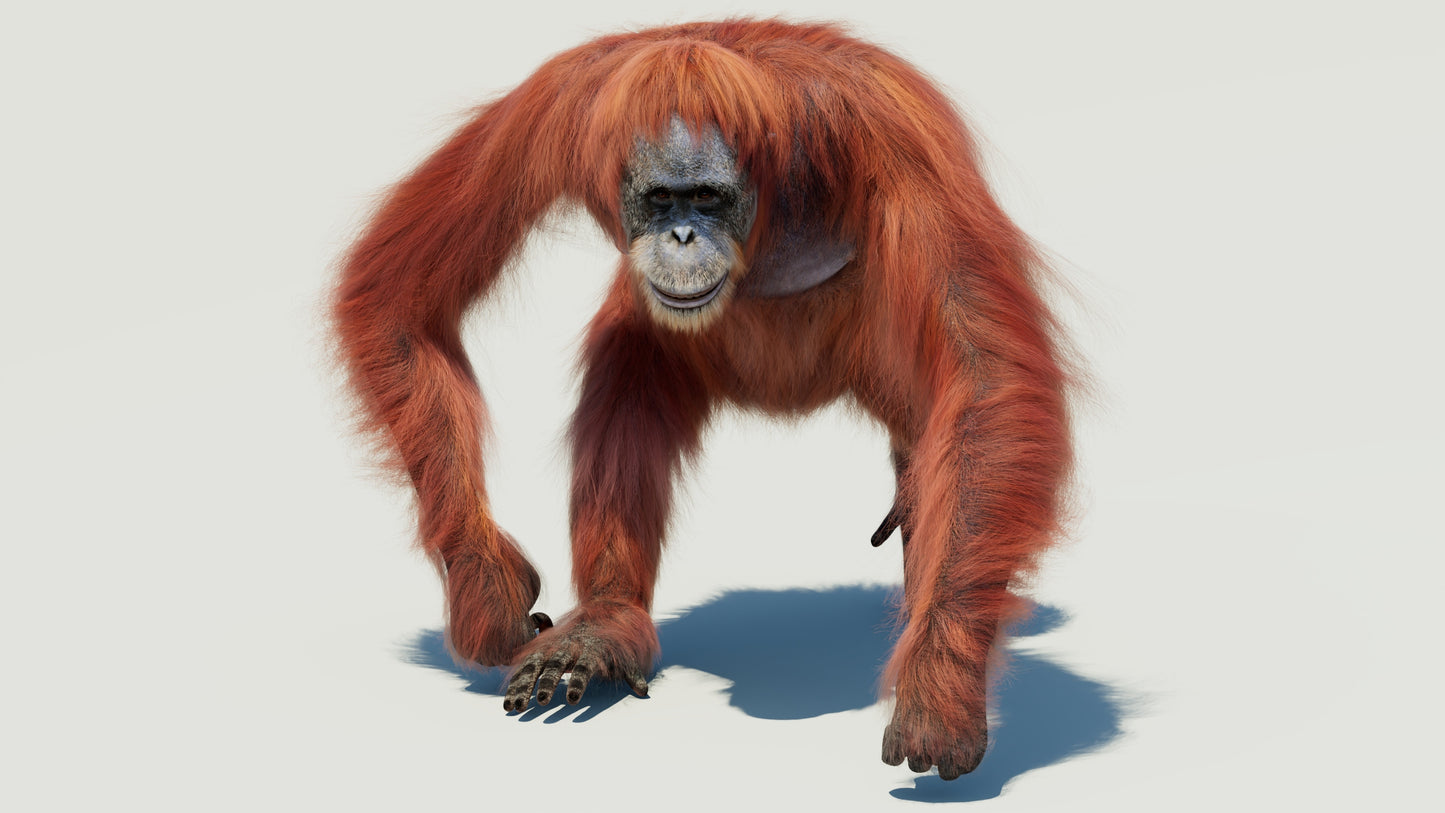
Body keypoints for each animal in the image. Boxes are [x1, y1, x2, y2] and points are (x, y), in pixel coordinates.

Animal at [334, 19, 1071, 780]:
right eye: (661, 199)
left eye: (710, 199)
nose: (682, 236)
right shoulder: (553, 109)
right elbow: (398, 303)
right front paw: (486, 592)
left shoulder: (891, 132)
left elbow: (985, 373)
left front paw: (938, 690)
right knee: (631, 370)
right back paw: (604, 623)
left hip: (882, 359)